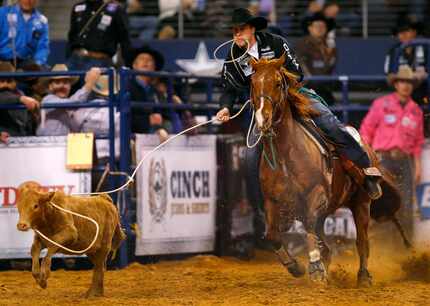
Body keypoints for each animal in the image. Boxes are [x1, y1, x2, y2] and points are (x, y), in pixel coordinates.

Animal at [249, 54, 406, 286]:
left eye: (277, 83)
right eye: (252, 83)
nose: (263, 119)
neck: (287, 154)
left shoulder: (316, 195)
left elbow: (309, 229)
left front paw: (315, 268)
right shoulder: (272, 201)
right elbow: (272, 236)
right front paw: (295, 266)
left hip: (361, 203)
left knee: (362, 242)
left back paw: (363, 276)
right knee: (328, 246)